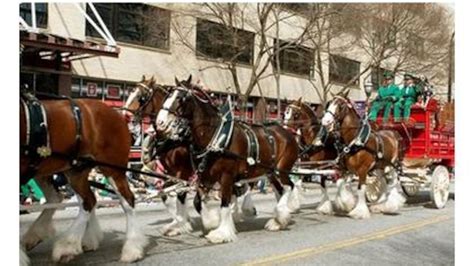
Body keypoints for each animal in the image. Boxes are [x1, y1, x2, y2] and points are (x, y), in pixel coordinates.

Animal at [122, 76, 258, 236]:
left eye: (141, 96)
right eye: (131, 91)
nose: (125, 115)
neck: (175, 138)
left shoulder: (185, 172)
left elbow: (184, 196)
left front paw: (202, 221)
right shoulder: (171, 173)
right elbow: (167, 195)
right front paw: (179, 222)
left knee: (243, 186)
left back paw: (243, 210)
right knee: (236, 189)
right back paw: (235, 213)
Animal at [156, 77, 300, 243]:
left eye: (181, 98)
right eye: (168, 95)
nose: (160, 122)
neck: (216, 137)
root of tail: (288, 133)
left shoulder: (225, 176)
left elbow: (224, 204)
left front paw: (221, 233)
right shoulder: (206, 177)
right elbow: (197, 201)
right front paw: (210, 222)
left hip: (282, 169)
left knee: (289, 187)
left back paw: (281, 214)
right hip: (269, 172)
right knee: (281, 190)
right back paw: (278, 221)